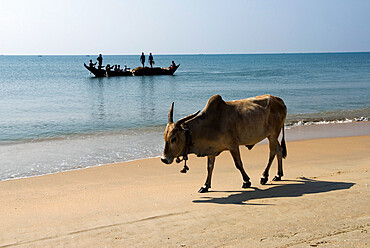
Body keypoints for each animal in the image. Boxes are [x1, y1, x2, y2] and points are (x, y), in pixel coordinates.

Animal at [160, 94, 288, 193]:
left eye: (174, 138)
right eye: (164, 137)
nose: (164, 159)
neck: (210, 124)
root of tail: (278, 99)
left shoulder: (233, 145)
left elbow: (238, 164)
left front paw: (246, 181)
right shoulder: (211, 150)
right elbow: (209, 167)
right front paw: (205, 186)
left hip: (273, 133)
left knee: (272, 152)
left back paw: (264, 176)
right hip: (272, 135)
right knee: (279, 150)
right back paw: (278, 175)